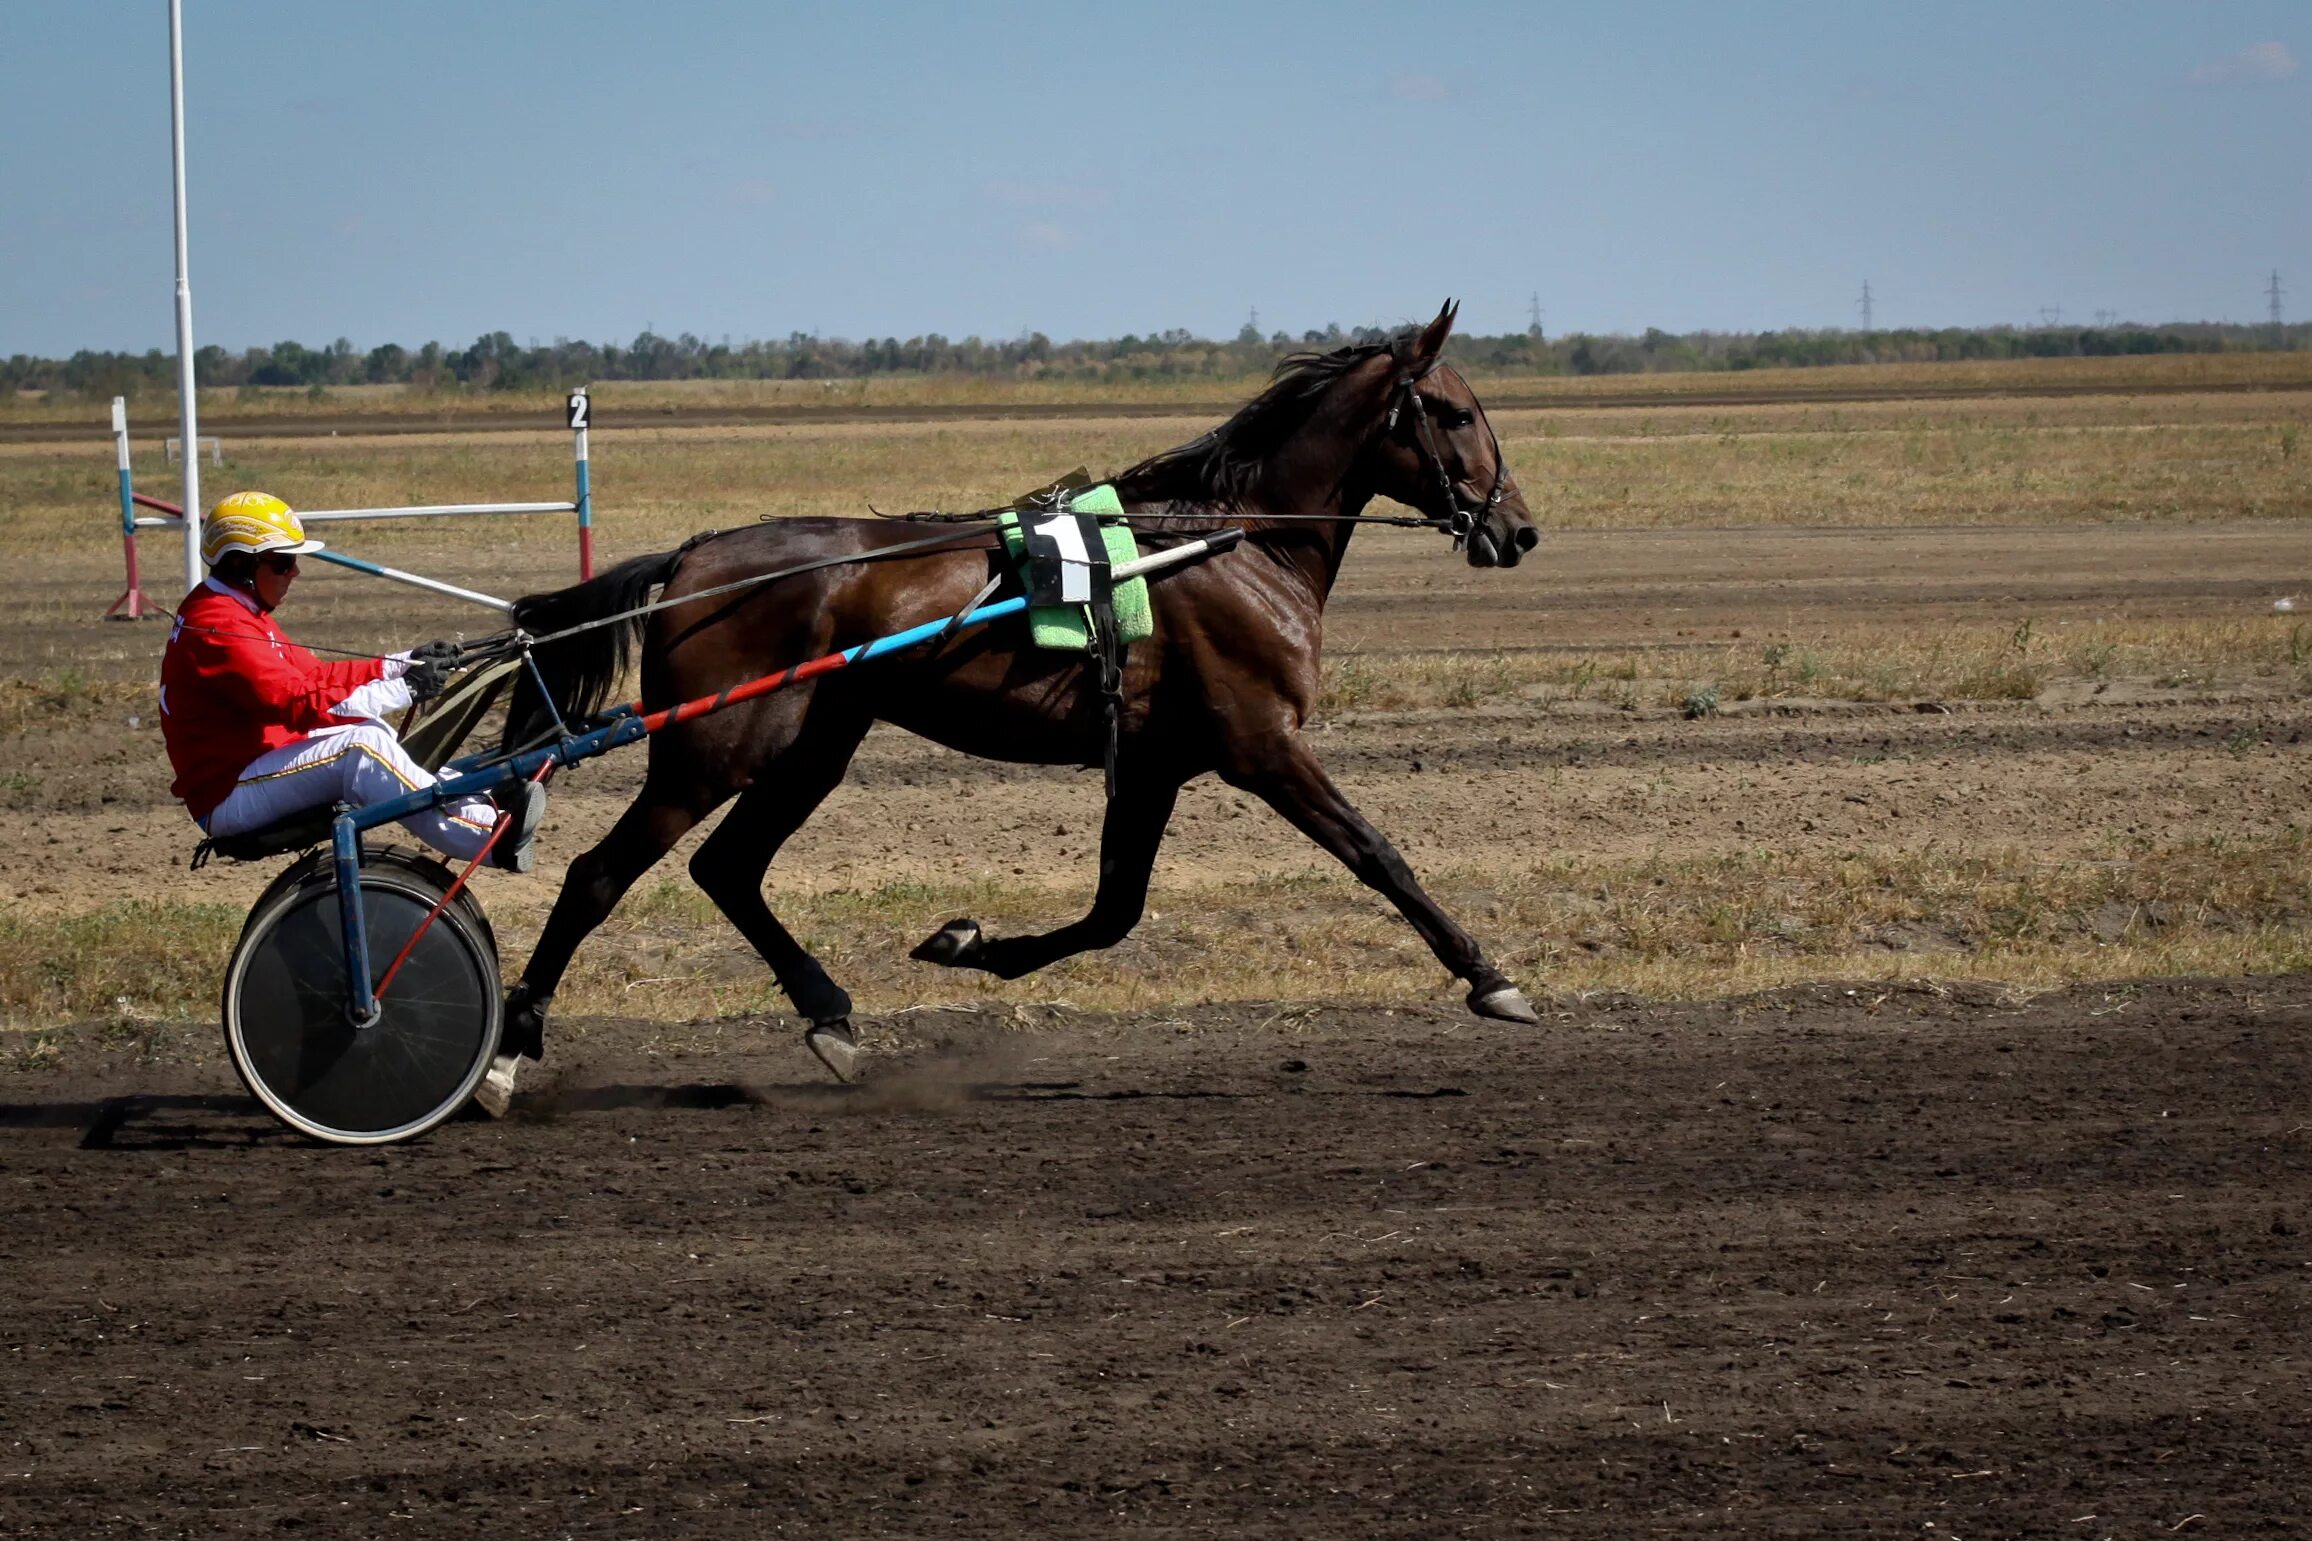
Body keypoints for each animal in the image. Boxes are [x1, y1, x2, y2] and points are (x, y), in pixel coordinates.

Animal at [510, 298, 1553, 1072]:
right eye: (1456, 414)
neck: (1234, 541)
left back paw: (830, 1013)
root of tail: (693, 559)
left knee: (727, 869)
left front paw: (967, 943)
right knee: (598, 874)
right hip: (711, 749)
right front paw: (1490, 977)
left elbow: (1113, 911)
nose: (1519, 531)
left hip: (812, 746)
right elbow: (1380, 854)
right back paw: (513, 1044)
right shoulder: (1260, 744)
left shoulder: (1154, 763)